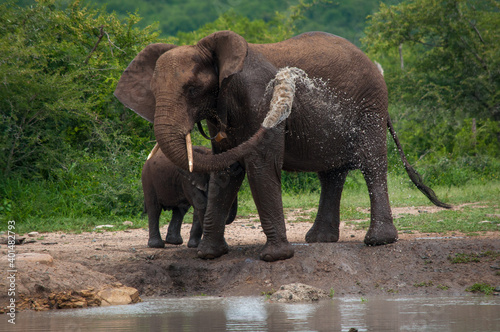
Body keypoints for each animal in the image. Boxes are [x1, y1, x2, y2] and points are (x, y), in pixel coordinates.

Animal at [115, 30, 452, 262]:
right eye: (153, 91)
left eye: (192, 89)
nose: (286, 81)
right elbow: (225, 170)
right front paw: (209, 255)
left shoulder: (256, 97)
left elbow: (261, 164)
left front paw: (274, 258)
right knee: (331, 173)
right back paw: (319, 239)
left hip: (370, 105)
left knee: (371, 164)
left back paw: (378, 241)